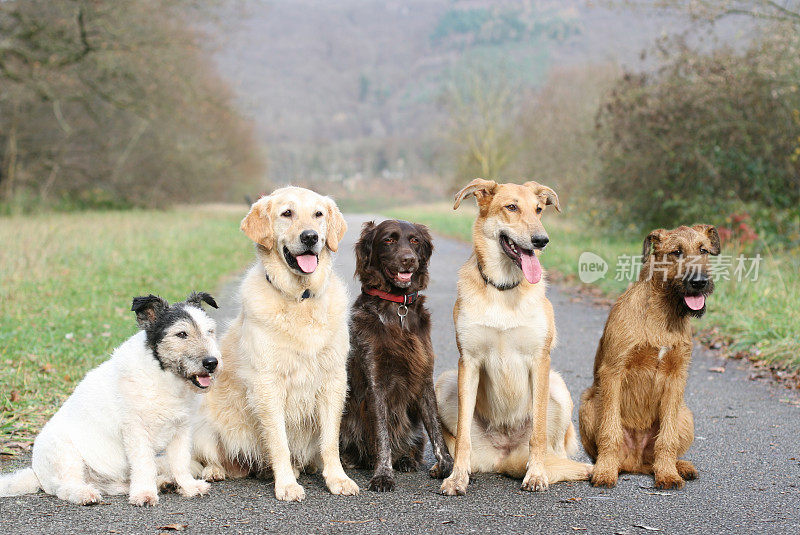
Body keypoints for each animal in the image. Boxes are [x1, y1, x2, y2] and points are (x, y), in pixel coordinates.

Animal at [580, 225, 720, 490]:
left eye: (703, 250)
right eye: (676, 252)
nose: (699, 282)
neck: (662, 313)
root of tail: (635, 462)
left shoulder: (676, 375)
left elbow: (667, 438)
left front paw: (667, 474)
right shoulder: (613, 371)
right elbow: (609, 431)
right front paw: (604, 472)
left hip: (685, 415)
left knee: (658, 454)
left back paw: (679, 467)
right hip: (589, 404)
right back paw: (606, 467)